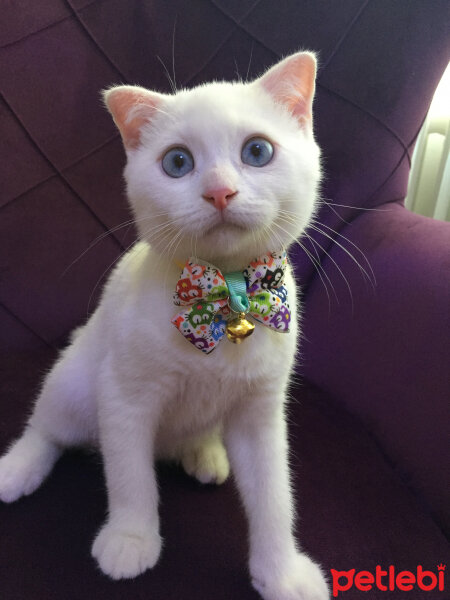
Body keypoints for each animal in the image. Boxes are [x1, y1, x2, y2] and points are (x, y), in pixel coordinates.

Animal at [0, 52, 330, 600]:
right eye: (178, 162)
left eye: (257, 151)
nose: (219, 192)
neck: (224, 296)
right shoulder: (124, 396)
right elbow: (130, 477)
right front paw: (131, 539)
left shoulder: (261, 412)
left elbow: (274, 495)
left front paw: (281, 572)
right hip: (74, 383)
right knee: (49, 429)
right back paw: (18, 467)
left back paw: (205, 455)